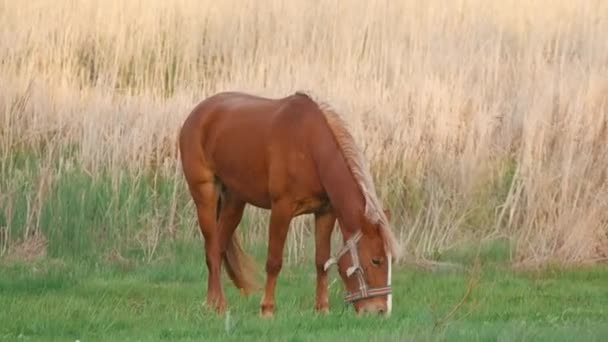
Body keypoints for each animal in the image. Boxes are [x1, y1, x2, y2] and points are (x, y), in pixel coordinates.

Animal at [178, 90, 402, 316]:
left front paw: (322, 308)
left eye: (391, 260)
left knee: (219, 247)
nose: (381, 311)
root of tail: (197, 113)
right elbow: (274, 261)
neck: (310, 147)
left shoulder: (325, 213)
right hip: (205, 196)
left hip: (234, 202)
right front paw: (267, 309)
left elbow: (321, 261)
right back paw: (219, 304)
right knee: (211, 249)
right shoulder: (281, 209)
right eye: (376, 260)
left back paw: (212, 303)